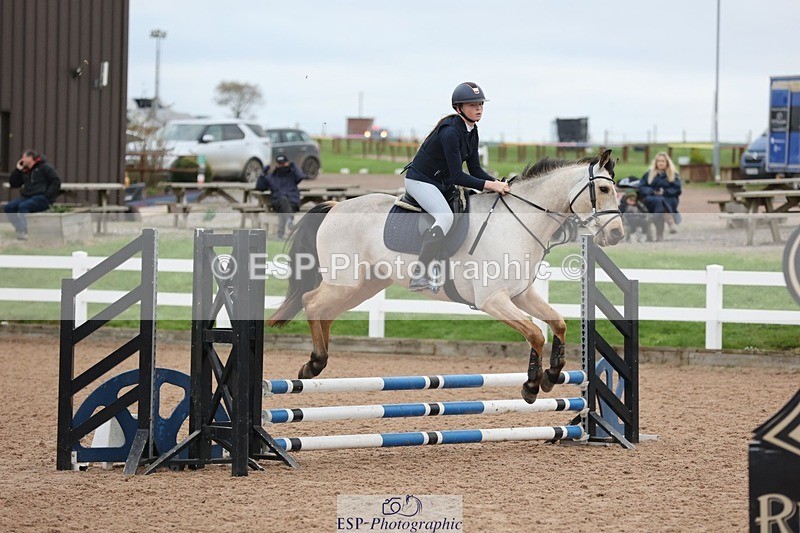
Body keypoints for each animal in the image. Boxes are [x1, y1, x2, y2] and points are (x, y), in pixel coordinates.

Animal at [269, 149, 623, 403]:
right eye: (603, 188)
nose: (617, 234)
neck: (518, 222)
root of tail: (334, 206)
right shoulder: (492, 300)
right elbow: (536, 333)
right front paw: (532, 385)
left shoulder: (521, 294)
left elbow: (557, 323)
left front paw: (551, 375)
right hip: (346, 281)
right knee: (311, 302)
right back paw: (315, 362)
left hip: (364, 285)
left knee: (324, 310)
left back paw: (315, 363)